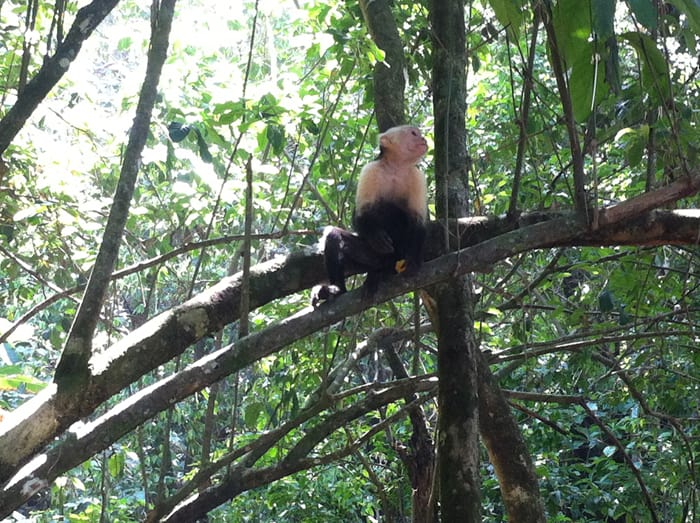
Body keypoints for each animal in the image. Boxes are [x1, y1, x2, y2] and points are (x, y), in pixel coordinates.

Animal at [314, 125, 430, 304]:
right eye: (413, 133)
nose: (423, 139)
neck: (396, 167)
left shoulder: (417, 177)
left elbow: (418, 221)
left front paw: (413, 262)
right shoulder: (370, 170)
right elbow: (361, 214)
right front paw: (376, 236)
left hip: (397, 256)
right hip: (373, 259)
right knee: (334, 235)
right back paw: (338, 289)